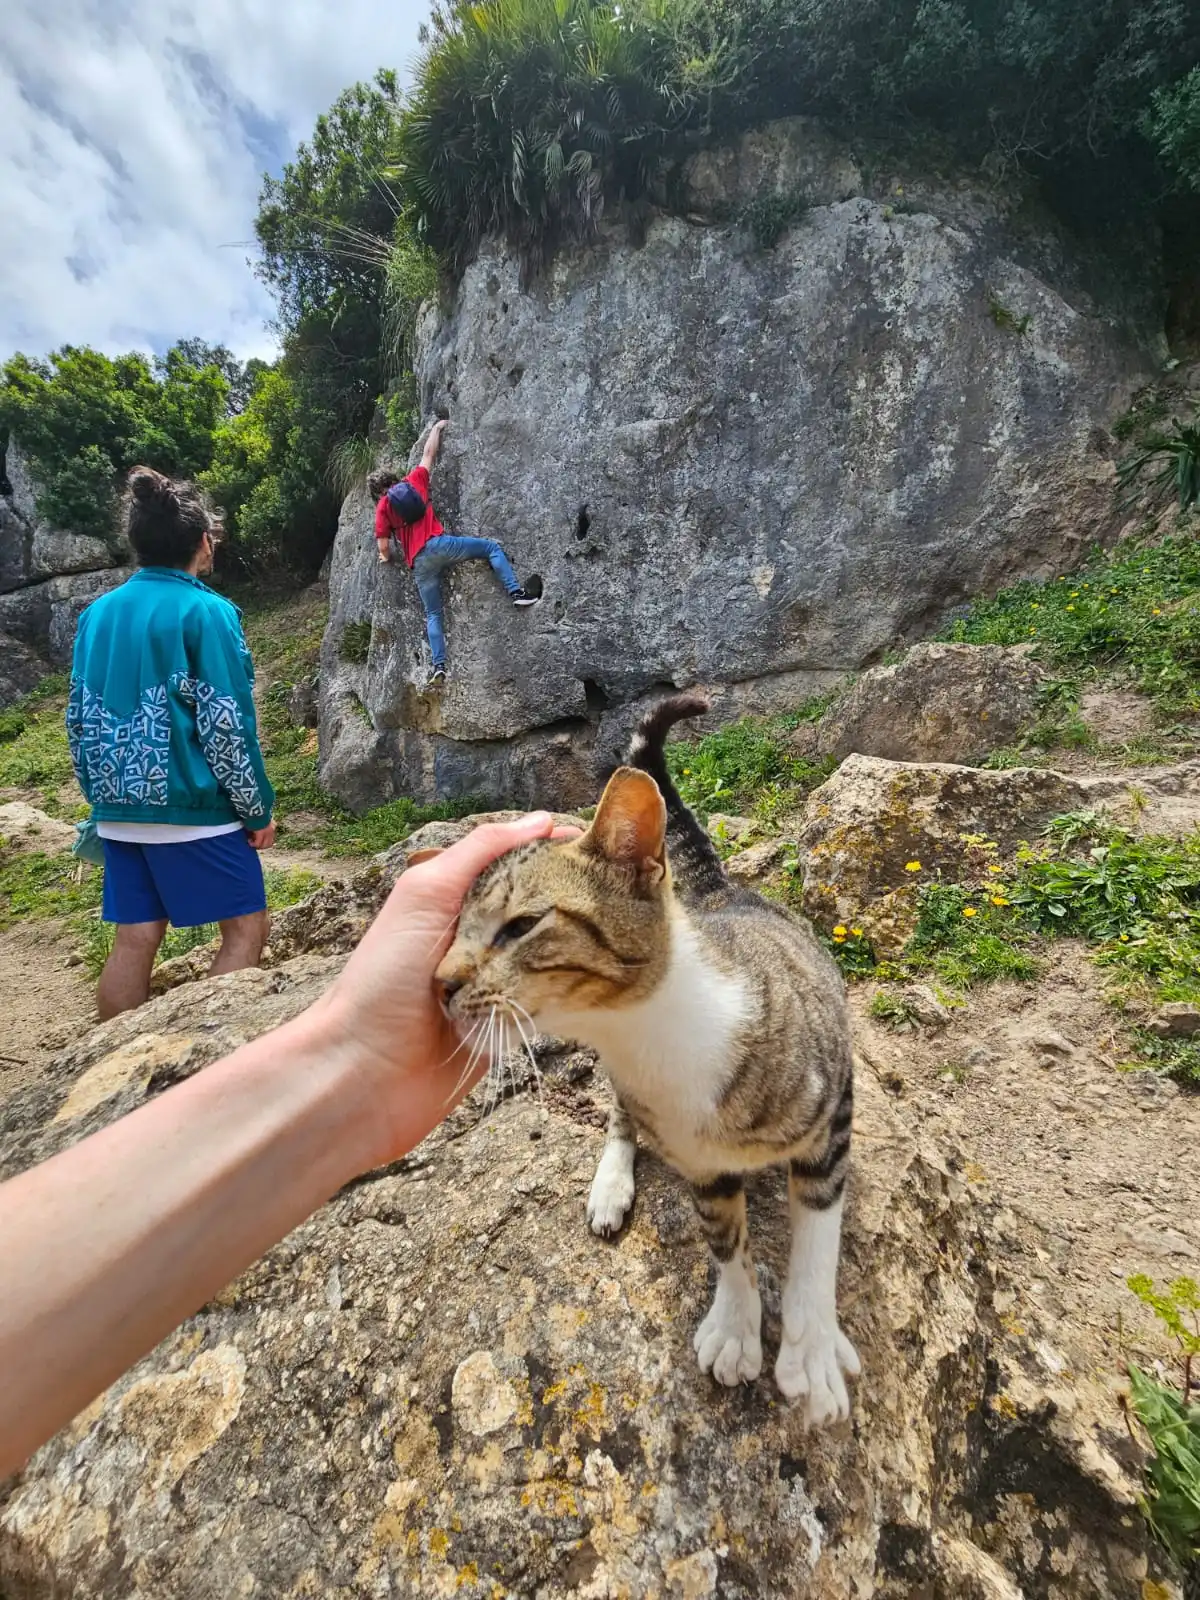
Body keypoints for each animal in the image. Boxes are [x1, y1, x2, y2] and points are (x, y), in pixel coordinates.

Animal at [438, 694, 857, 1420]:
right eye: (452, 934)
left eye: (521, 926)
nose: (439, 983)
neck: (645, 1033)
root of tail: (722, 891)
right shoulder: (699, 1161)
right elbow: (725, 1241)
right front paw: (736, 1328)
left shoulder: (832, 1116)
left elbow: (817, 1242)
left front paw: (813, 1351)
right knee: (620, 1118)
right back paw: (612, 1184)